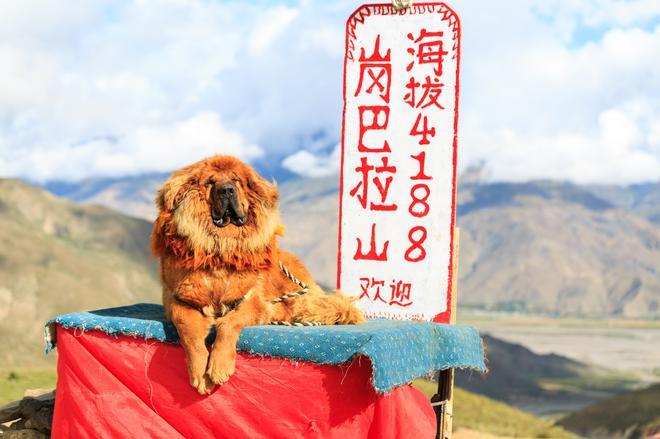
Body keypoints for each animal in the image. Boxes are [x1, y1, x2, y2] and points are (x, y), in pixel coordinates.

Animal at [151, 157, 364, 396]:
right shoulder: (180, 302)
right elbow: (190, 334)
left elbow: (228, 324)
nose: (226, 190)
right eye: (210, 182)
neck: (221, 251)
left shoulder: (250, 301)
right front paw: (199, 373)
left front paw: (219, 367)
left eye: (236, 180)